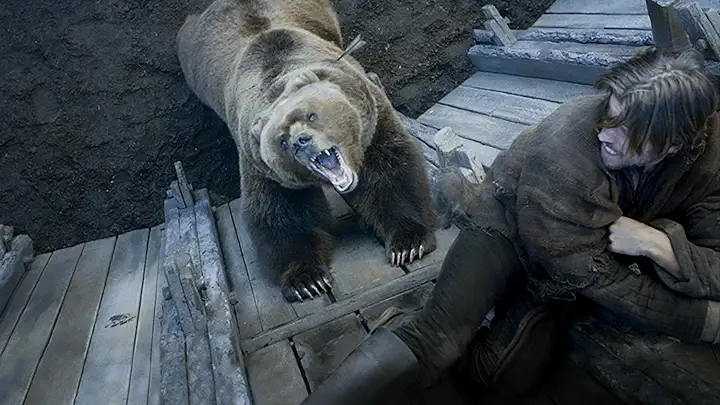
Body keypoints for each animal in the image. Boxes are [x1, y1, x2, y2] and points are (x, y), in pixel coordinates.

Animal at [176, 0, 438, 302]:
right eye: (281, 140)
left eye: (312, 115)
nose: (300, 142)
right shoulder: (262, 166)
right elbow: (281, 213)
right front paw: (307, 280)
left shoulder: (370, 122)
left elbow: (390, 172)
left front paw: (408, 244)